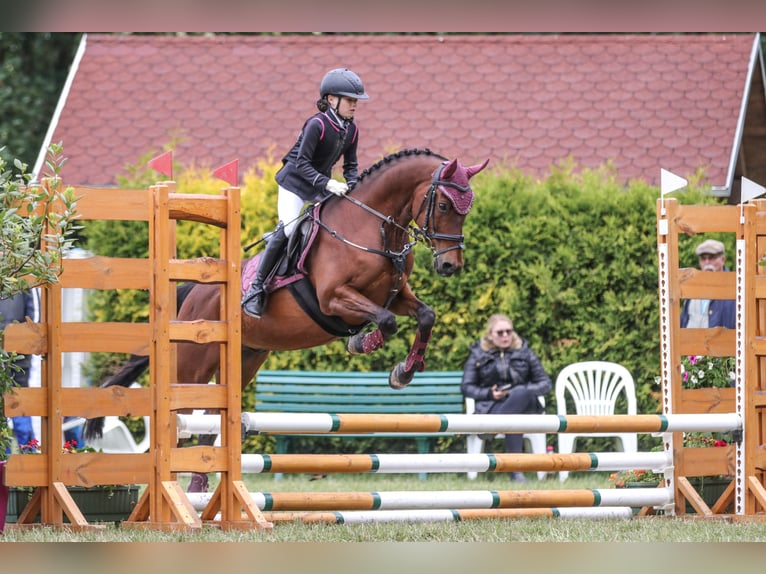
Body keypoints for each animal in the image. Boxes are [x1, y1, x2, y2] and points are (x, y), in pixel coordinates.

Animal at [84, 148, 488, 490]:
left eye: (468, 209)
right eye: (443, 203)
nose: (450, 266)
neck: (373, 228)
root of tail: (192, 291)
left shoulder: (397, 294)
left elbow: (425, 315)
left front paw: (404, 371)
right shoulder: (334, 299)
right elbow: (386, 322)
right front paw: (361, 343)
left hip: (245, 358)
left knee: (210, 420)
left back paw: (199, 493)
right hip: (193, 362)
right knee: (180, 417)